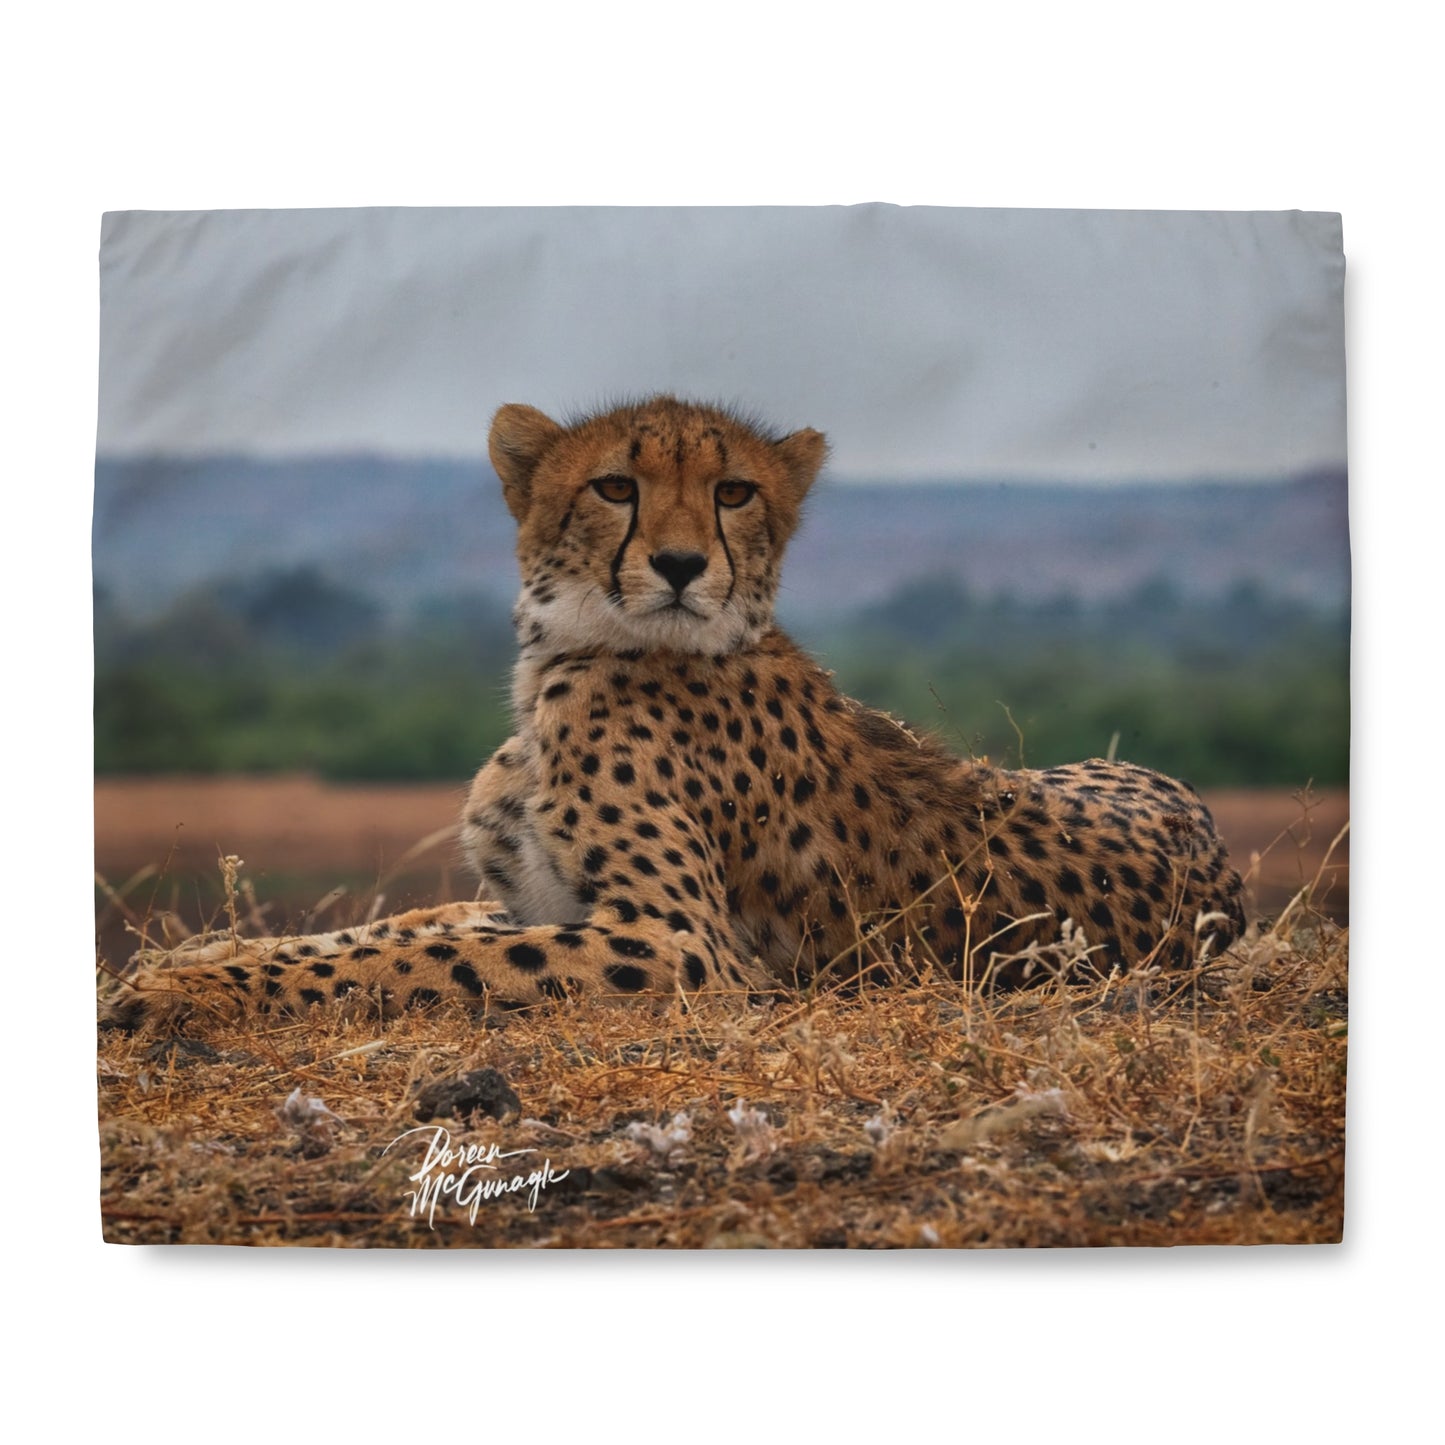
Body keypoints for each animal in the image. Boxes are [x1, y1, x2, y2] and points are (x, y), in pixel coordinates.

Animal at [101, 395, 1246, 1032]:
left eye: (735, 491)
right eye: (615, 485)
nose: (683, 563)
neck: (564, 658)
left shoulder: (680, 942)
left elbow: (411, 960)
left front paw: (187, 994)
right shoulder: (538, 900)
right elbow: (387, 933)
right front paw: (185, 965)